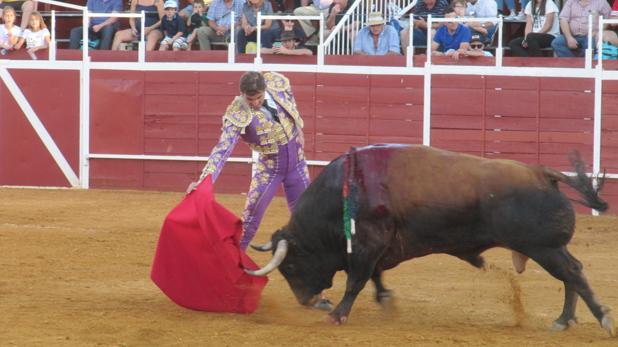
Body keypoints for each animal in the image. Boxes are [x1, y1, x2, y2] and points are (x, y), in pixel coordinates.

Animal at [244, 145, 612, 338]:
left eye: (291, 265)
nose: (306, 300)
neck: (345, 190)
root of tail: (542, 173)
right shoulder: (378, 245)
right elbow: (374, 275)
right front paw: (386, 300)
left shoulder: (368, 241)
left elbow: (356, 280)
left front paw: (337, 314)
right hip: (546, 248)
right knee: (571, 274)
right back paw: (563, 320)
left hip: (543, 247)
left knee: (572, 273)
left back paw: (602, 319)